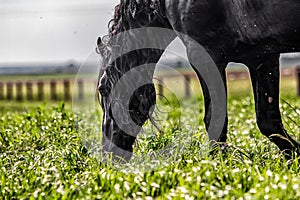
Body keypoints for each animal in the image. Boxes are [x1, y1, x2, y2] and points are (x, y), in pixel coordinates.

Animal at [96, 0, 300, 160]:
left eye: (102, 89)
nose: (108, 154)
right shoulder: (262, 58)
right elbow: (268, 120)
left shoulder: (204, 56)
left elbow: (215, 120)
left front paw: (217, 163)